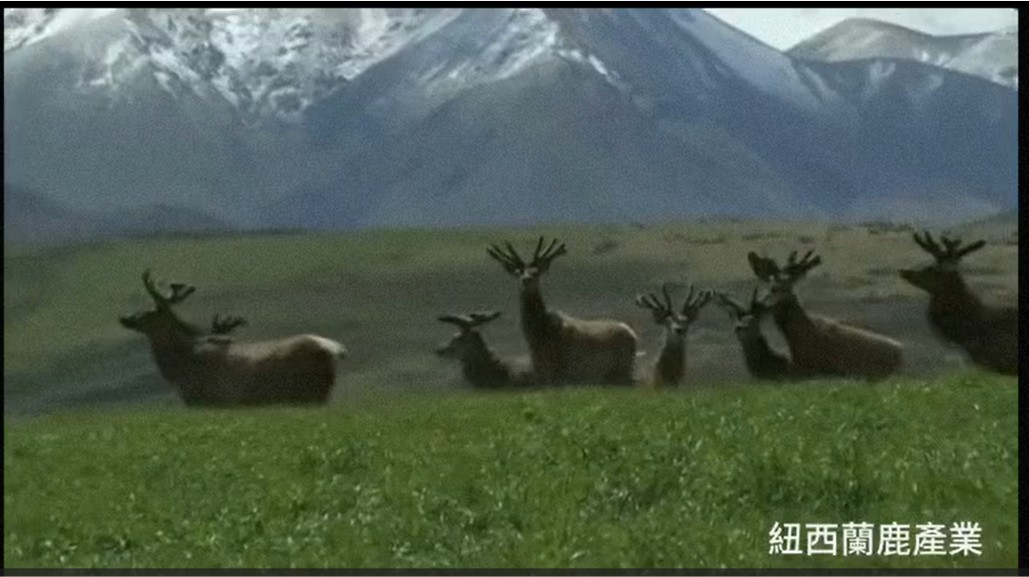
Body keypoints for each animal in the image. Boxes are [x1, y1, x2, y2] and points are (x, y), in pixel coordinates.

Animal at [119, 269, 347, 407]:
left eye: (148, 313)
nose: (125, 318)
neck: (180, 367)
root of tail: (335, 350)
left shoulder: (205, 401)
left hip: (310, 393)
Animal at [486, 236, 638, 386]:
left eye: (536, 271)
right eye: (518, 272)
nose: (526, 279)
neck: (538, 337)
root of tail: (633, 336)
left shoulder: (559, 373)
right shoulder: (541, 373)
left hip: (621, 369)